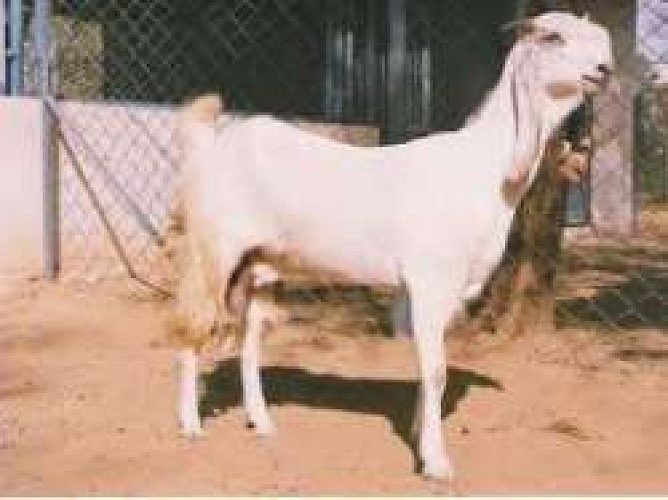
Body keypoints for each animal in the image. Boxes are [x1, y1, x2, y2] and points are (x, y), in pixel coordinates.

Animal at [172, 12, 613, 480]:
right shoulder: (430, 278)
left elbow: (429, 366)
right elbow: (436, 371)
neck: (485, 170)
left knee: (249, 340)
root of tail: (213, 143)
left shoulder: (449, 289)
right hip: (212, 251)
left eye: (600, 39)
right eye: (554, 36)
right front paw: (436, 461)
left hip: (260, 265)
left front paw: (420, 433)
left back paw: (262, 422)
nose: (604, 69)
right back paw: (191, 424)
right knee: (193, 326)